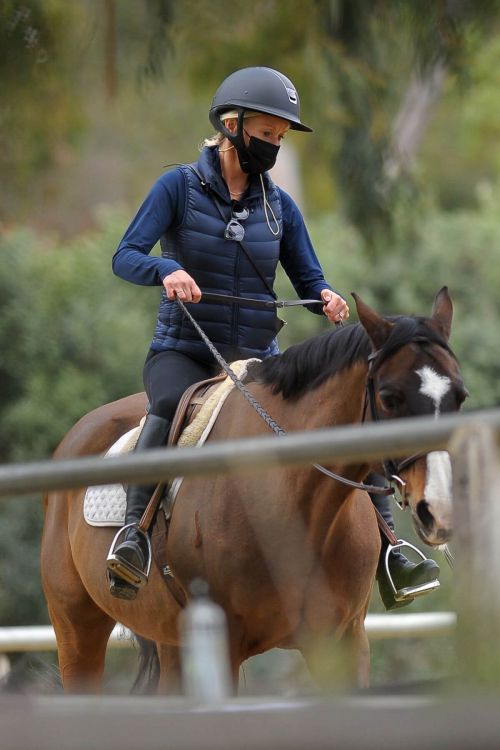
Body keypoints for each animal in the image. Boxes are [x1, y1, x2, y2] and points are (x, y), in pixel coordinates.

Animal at [41, 290, 466, 696]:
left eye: (460, 396)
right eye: (390, 398)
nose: (440, 510)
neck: (298, 506)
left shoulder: (343, 641)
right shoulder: (225, 644)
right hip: (77, 627)